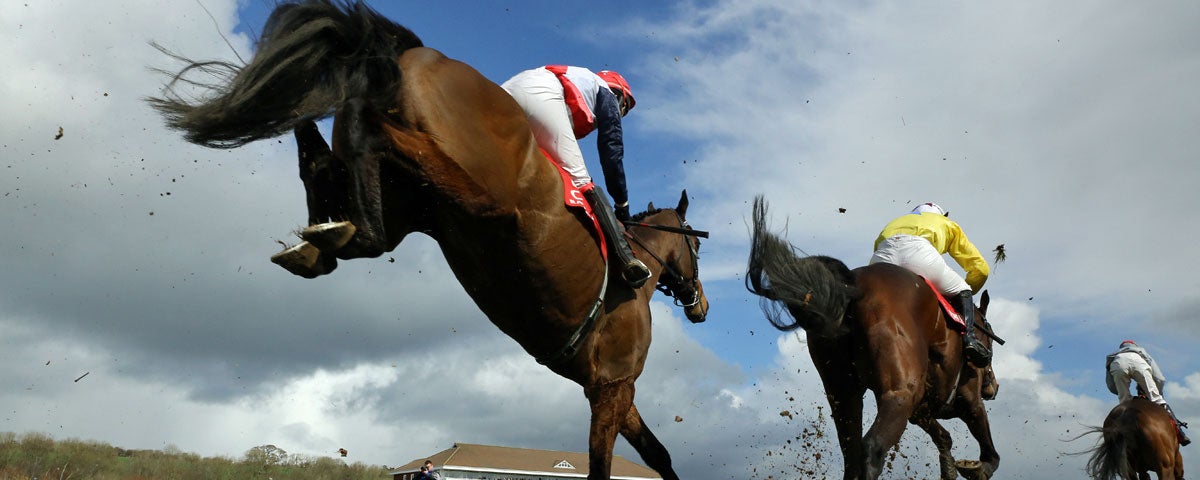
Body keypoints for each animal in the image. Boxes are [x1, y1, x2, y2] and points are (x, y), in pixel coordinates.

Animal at [148, 2, 709, 479]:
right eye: (697, 247)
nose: (700, 304)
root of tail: (423, 54)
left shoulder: (610, 388)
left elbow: (658, 453)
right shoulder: (612, 385)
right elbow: (605, 465)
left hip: (414, 202)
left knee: (340, 184)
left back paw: (316, 231)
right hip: (484, 196)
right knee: (367, 126)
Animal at [744, 197, 999, 480]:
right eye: (990, 341)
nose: (992, 387)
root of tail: (853, 289)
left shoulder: (920, 408)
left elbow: (944, 437)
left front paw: (949, 467)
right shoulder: (968, 399)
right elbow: (989, 450)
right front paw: (978, 468)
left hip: (843, 393)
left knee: (851, 453)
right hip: (898, 394)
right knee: (872, 449)